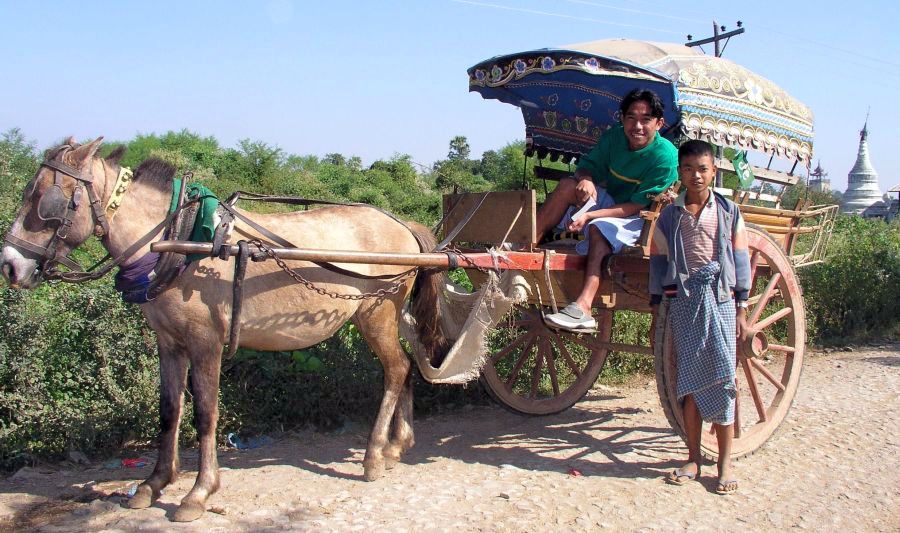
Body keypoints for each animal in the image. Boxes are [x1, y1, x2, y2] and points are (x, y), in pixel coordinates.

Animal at [0, 139, 450, 520]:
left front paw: (198, 492)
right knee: (406, 366)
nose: (10, 266)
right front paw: (154, 483)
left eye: (47, 201)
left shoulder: (207, 344)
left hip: (376, 315)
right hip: (387, 316)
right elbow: (169, 410)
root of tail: (404, 226)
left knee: (395, 369)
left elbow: (205, 413)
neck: (179, 242)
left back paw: (374, 455)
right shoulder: (170, 343)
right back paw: (397, 445)